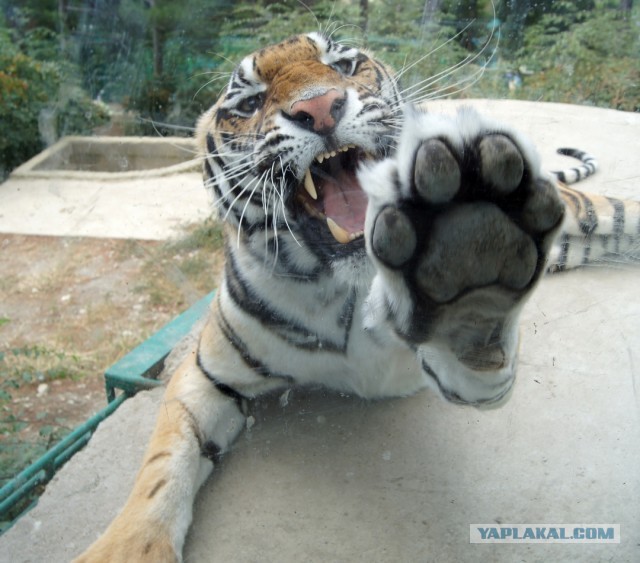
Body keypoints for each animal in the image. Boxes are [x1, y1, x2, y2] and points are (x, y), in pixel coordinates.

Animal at [75, 33, 640, 562]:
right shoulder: (207, 372)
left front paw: (466, 262)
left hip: (593, 212)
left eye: (344, 66)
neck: (341, 290)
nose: (320, 107)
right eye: (249, 102)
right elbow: (162, 463)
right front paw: (124, 549)